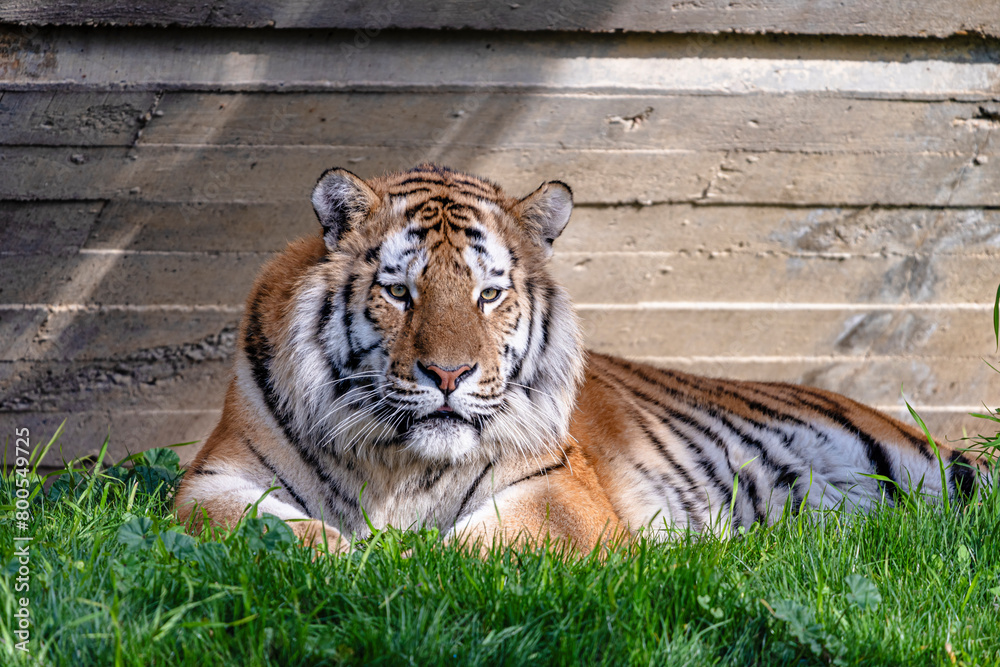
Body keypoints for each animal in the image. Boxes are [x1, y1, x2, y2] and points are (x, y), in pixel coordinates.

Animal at [175, 163, 990, 553]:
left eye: (489, 294)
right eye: (400, 292)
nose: (449, 375)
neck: (401, 467)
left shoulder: (554, 490)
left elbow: (481, 550)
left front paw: (406, 561)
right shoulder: (213, 480)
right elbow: (277, 533)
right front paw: (351, 559)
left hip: (927, 465)